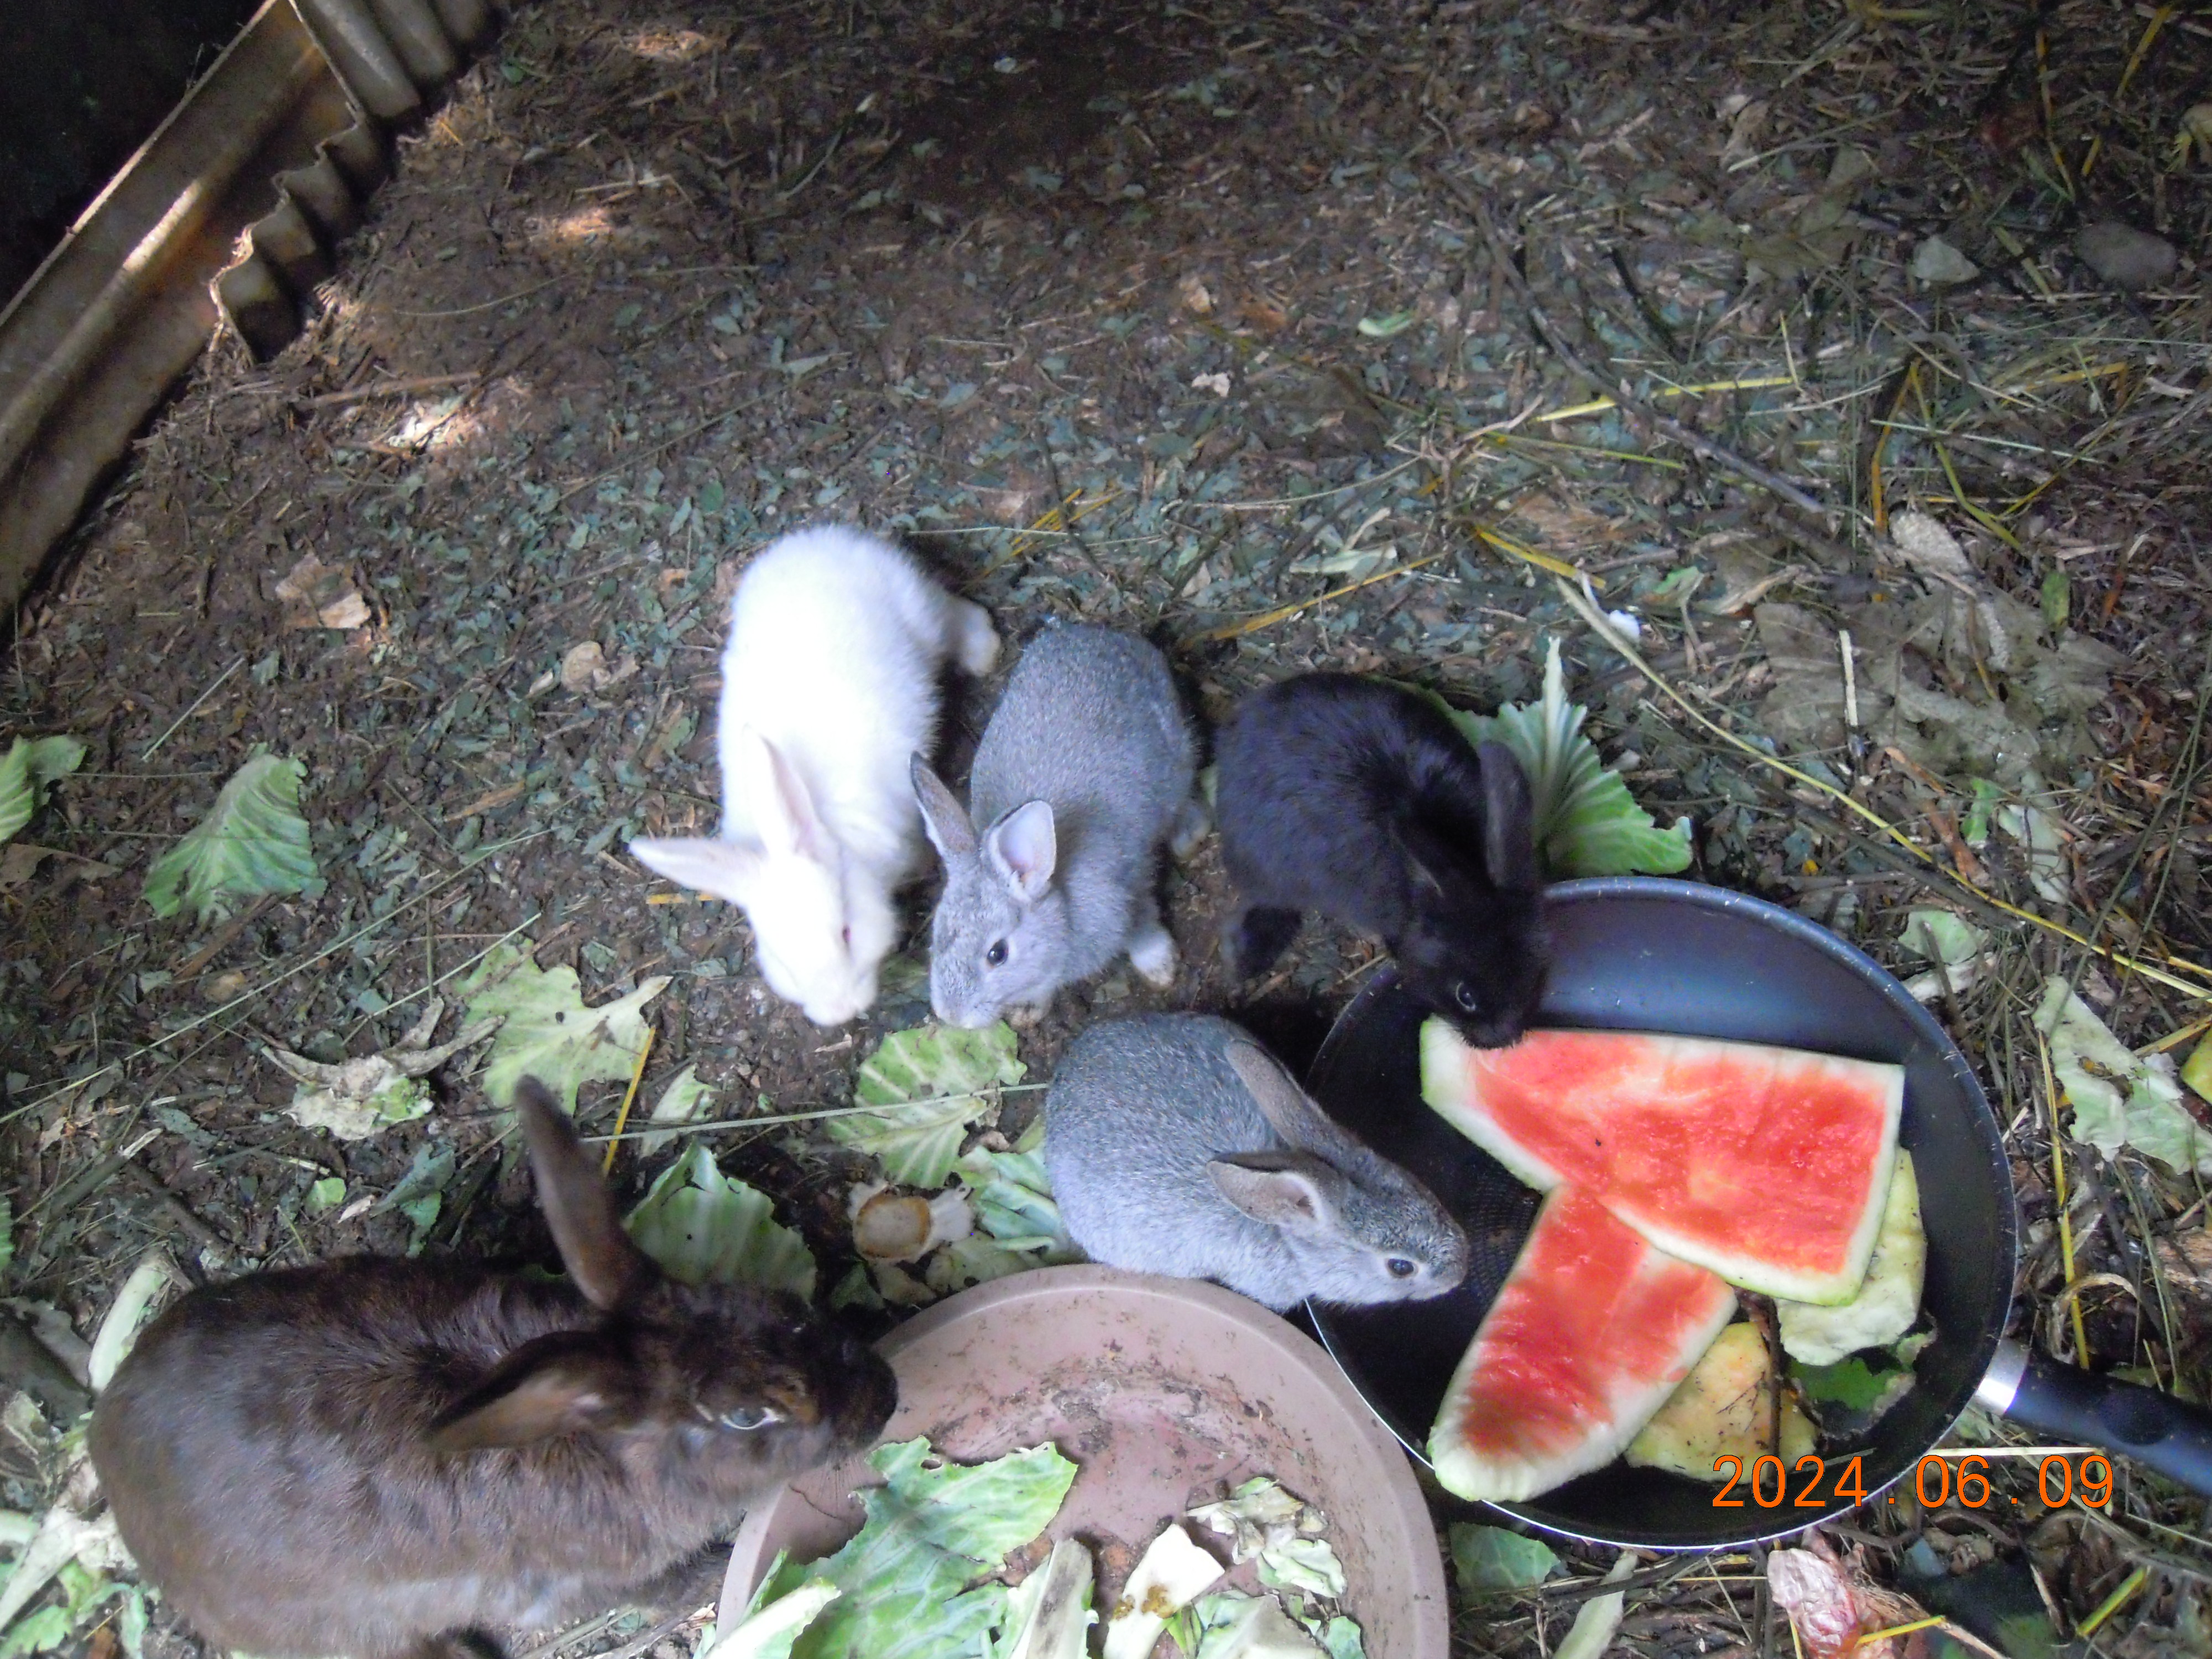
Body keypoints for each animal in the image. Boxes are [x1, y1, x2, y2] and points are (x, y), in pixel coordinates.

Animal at [88, 1077, 897, 1659]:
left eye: (775, 1305)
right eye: (746, 1416)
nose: (884, 1396)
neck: (612, 1449)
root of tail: (107, 1452)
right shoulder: (565, 1585)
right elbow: (665, 1587)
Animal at [629, 525, 999, 1026]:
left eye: (846, 933)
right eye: (784, 961)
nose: (840, 1011)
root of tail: (819, 539)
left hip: (921, 611)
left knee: (950, 615)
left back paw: (984, 649)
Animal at [911, 623, 1203, 1028]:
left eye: (997, 954)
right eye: (936, 936)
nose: (952, 1016)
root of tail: (1102, 635)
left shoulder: (1130, 884)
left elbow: (1143, 921)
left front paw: (1160, 966)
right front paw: (1029, 1011)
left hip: (1178, 754)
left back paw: (1190, 836)